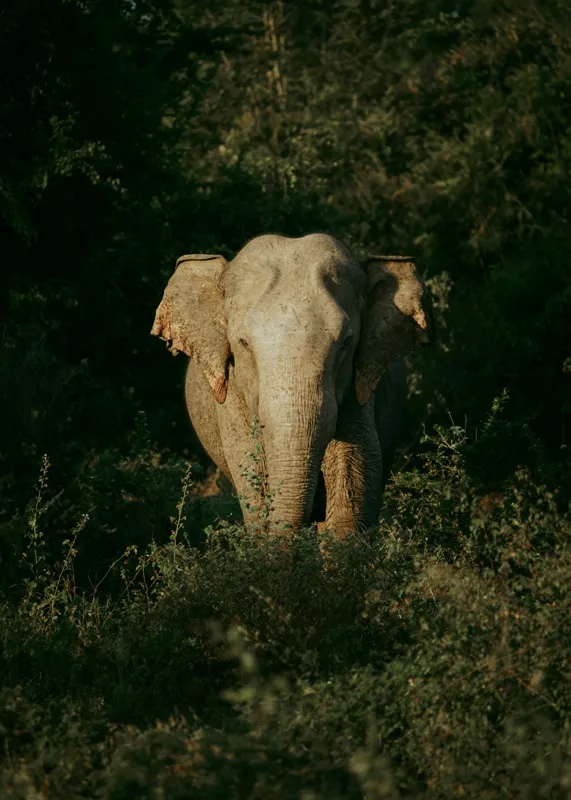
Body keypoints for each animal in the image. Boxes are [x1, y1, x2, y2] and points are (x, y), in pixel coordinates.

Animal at [151, 233, 433, 537]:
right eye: (243, 344)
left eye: (346, 342)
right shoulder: (231, 397)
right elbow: (253, 483)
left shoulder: (359, 391)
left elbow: (353, 488)